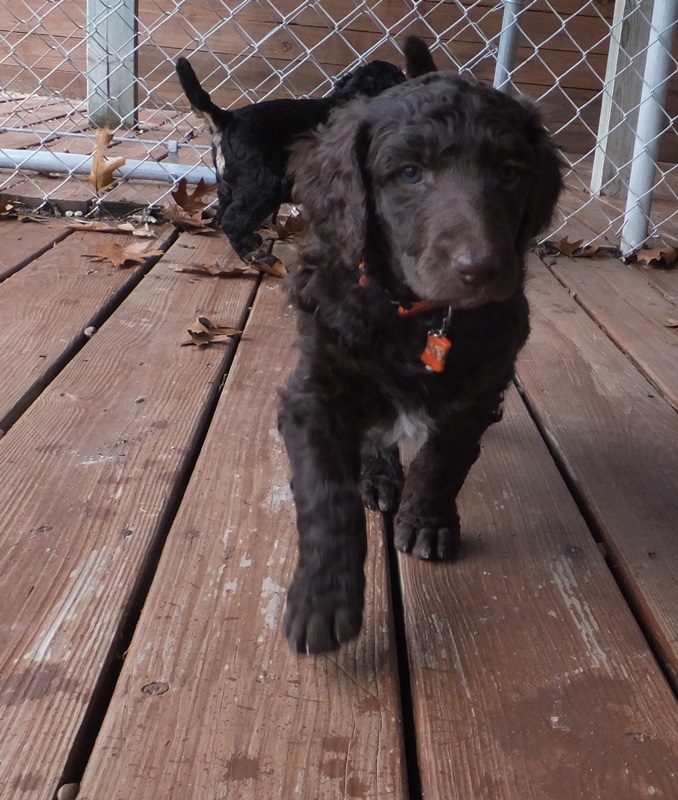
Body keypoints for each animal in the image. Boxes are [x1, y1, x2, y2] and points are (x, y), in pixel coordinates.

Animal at [278, 71, 563, 654]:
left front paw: (428, 520)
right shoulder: (316, 391)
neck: (418, 314)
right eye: (410, 173)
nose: (482, 268)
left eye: (509, 172)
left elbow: (445, 460)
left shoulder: (479, 387)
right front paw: (322, 599)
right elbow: (326, 496)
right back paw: (377, 476)